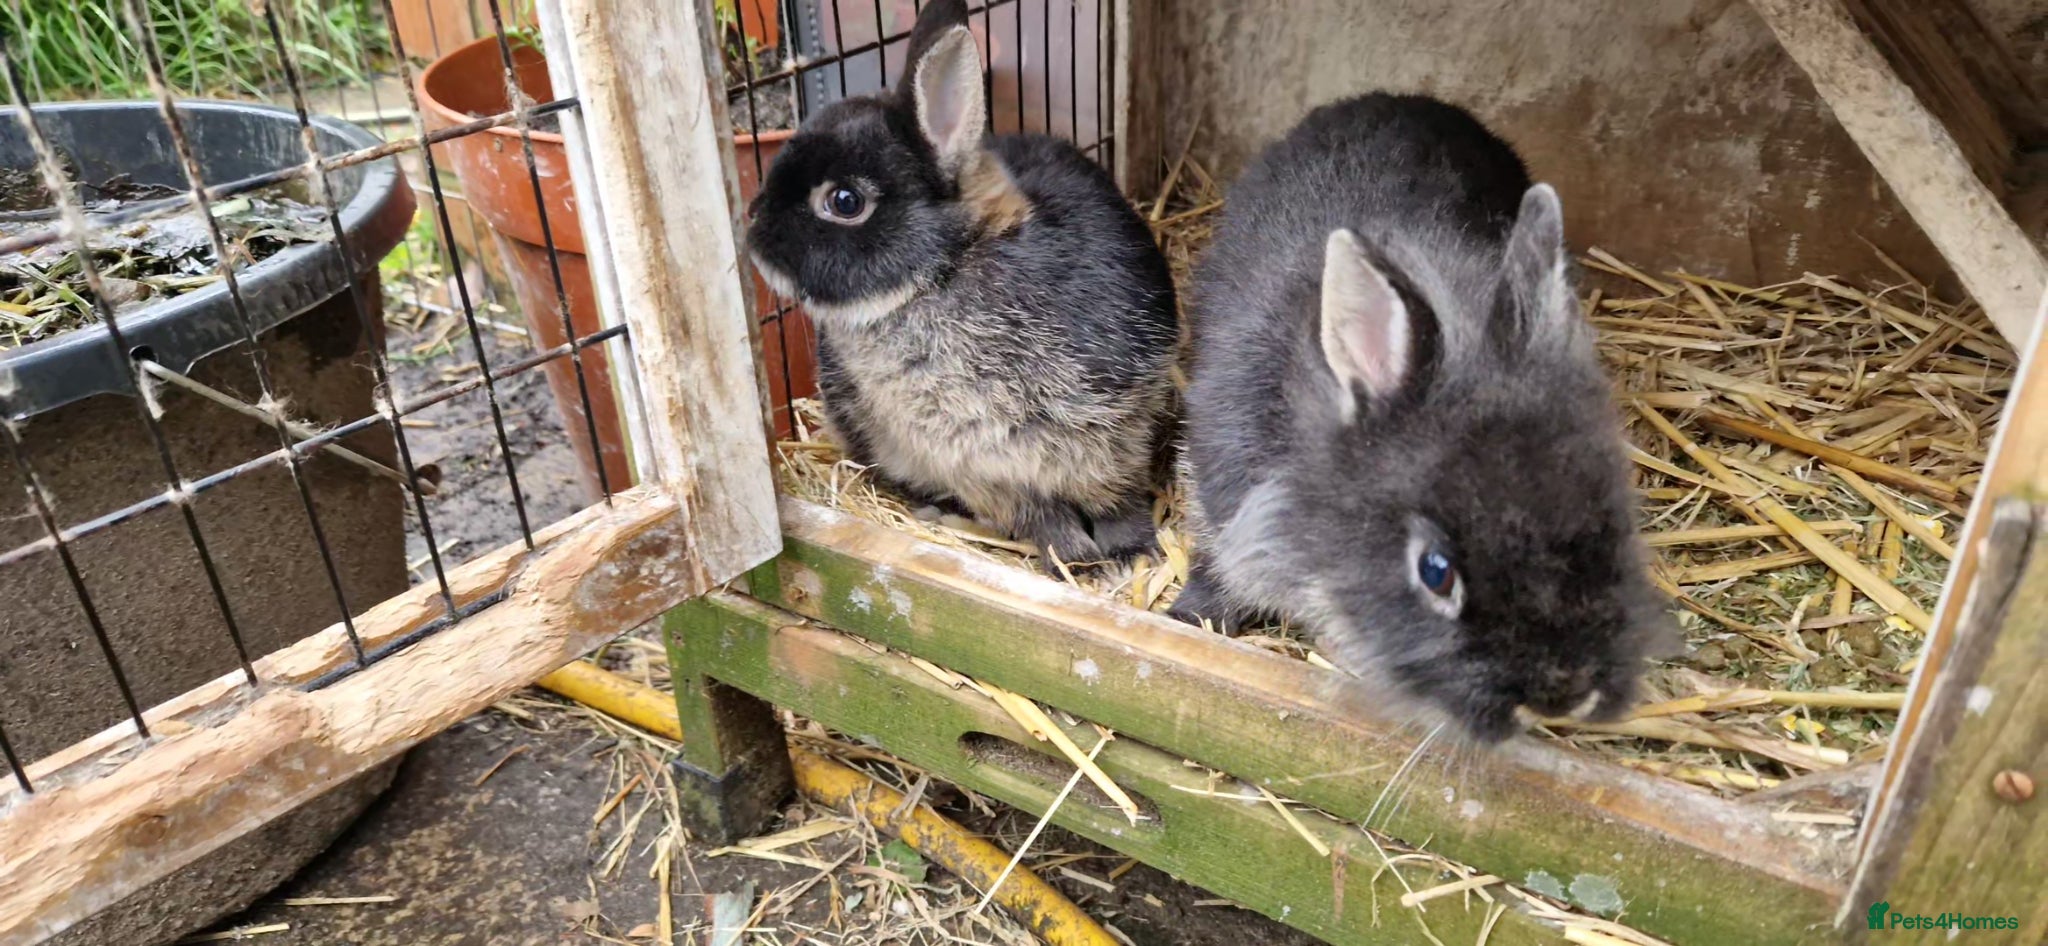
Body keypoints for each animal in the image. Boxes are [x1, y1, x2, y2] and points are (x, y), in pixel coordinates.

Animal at [745, 0, 1178, 571]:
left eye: (844, 201)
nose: (752, 230)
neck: (945, 269)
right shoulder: (979, 469)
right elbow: (1042, 518)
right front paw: (1073, 560)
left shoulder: (1118, 425)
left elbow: (1118, 501)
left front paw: (1133, 555)